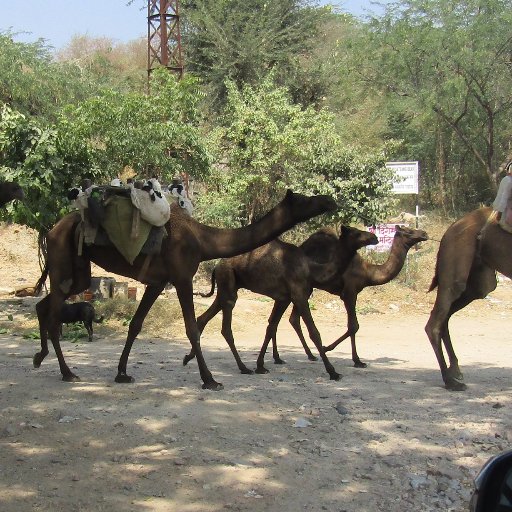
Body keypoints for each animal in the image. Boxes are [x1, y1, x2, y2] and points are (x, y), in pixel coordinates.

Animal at [31, 190, 336, 390]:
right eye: (305, 199)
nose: (329, 200)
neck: (203, 240)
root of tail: (50, 230)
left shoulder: (157, 282)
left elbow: (136, 325)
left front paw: (121, 373)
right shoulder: (182, 277)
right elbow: (191, 328)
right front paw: (210, 379)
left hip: (78, 271)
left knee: (44, 305)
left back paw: (39, 357)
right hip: (64, 260)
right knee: (53, 312)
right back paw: (67, 372)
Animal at [186, 226, 378, 378]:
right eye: (356, 232)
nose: (374, 237)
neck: (311, 269)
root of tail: (216, 267)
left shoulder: (284, 298)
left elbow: (271, 327)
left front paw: (261, 365)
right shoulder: (299, 294)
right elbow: (314, 332)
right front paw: (333, 372)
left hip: (226, 289)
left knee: (204, 317)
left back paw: (189, 358)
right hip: (228, 283)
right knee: (226, 327)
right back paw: (242, 368)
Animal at [288, 226, 428, 366]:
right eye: (408, 231)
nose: (424, 234)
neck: (368, 272)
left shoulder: (352, 292)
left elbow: (353, 326)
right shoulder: (349, 292)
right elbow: (353, 326)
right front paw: (355, 359)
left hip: (308, 287)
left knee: (294, 319)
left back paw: (310, 355)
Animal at [424, 206, 512, 390]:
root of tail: (452, 226)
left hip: (480, 280)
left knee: (444, 318)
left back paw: (454, 370)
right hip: (455, 264)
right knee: (434, 323)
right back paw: (449, 381)